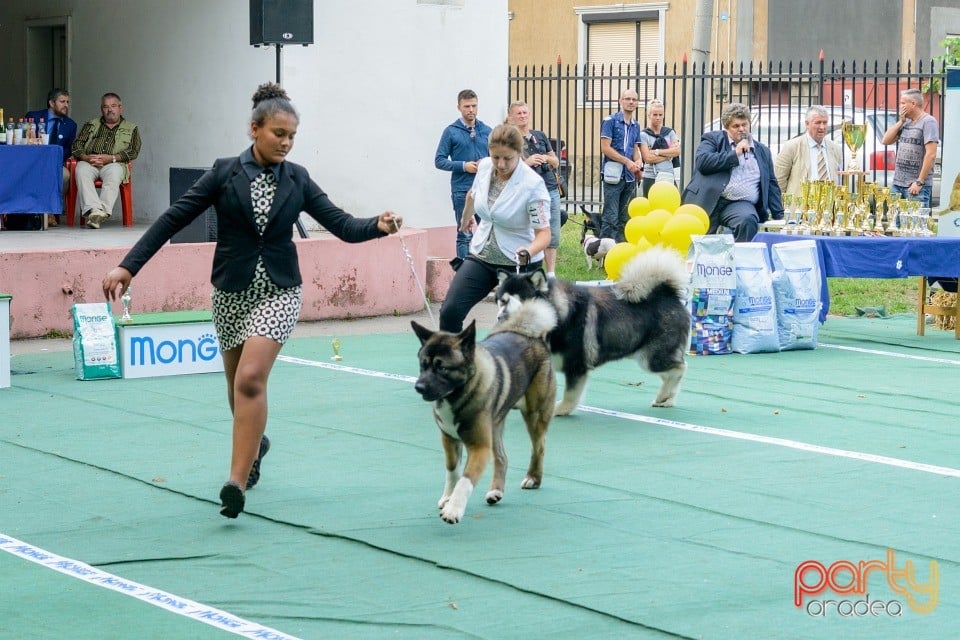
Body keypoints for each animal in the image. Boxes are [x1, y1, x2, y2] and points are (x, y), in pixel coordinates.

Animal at [410, 300, 556, 524]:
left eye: (442, 368)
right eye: (422, 365)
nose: (419, 387)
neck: (458, 393)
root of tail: (529, 335)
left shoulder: (479, 447)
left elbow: (465, 479)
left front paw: (454, 509)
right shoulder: (449, 440)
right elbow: (453, 471)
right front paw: (447, 498)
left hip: (534, 416)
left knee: (538, 447)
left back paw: (533, 478)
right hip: (495, 427)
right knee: (502, 457)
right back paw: (496, 491)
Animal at [496, 248, 688, 412]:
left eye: (521, 301)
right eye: (502, 301)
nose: (500, 318)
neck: (557, 315)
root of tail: (668, 293)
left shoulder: (576, 366)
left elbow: (570, 395)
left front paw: (561, 410)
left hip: (651, 358)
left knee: (679, 368)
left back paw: (664, 397)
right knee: (670, 374)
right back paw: (666, 400)